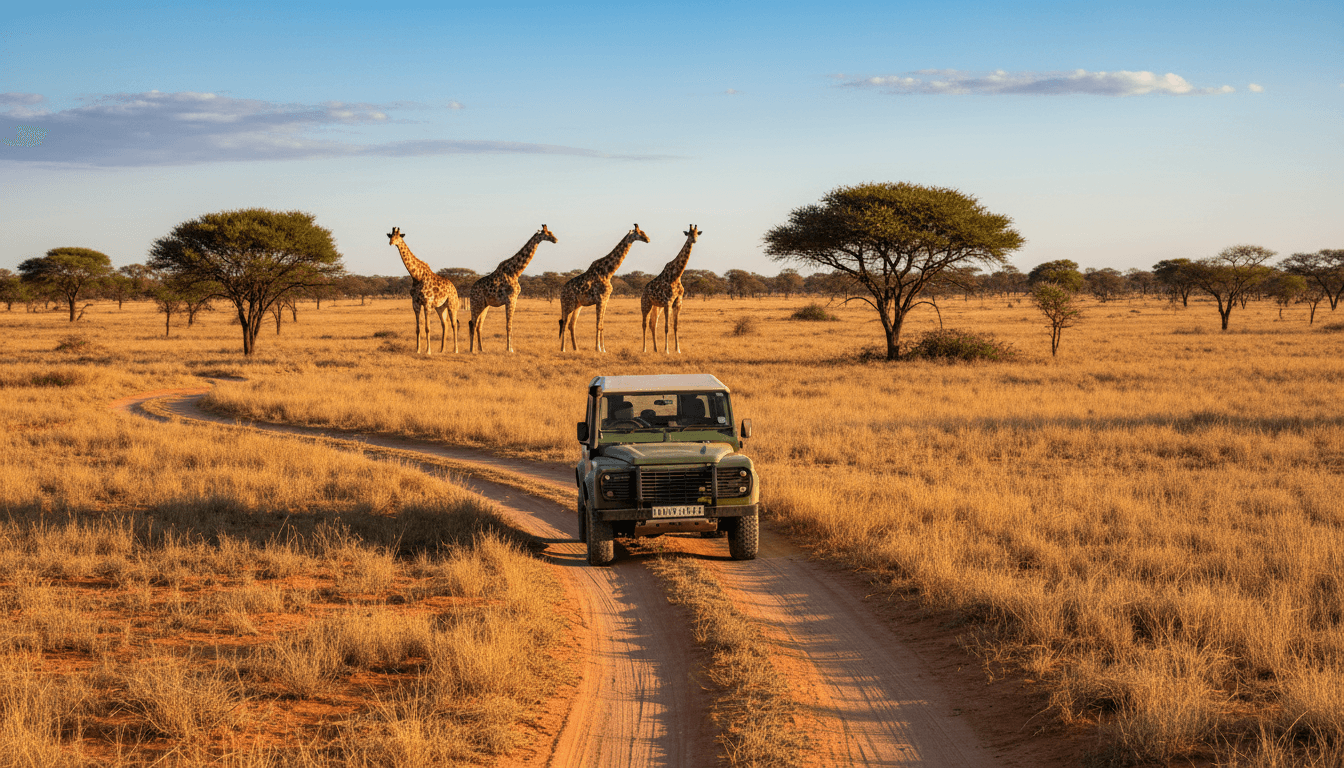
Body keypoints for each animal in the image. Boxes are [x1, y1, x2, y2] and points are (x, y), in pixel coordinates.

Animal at [468, 224, 558, 353]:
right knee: (472, 323)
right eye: (548, 233)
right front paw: (509, 349)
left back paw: (481, 349)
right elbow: (508, 325)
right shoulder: (511, 298)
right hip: (476, 303)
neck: (515, 272)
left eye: (551, 232)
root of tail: (471, 291)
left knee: (479, 325)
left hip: (485, 305)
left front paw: (510, 347)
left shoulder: (513, 299)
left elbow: (510, 325)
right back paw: (471, 350)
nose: (556, 239)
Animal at [559, 224, 649, 352]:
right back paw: (563, 349)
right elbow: (598, 324)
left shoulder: (606, 299)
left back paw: (576, 349)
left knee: (571, 324)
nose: (648, 239)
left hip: (577, 306)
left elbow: (602, 325)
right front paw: (597, 348)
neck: (608, 272)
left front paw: (603, 349)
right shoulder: (600, 299)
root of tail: (561, 292)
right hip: (567, 304)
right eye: (639, 232)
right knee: (564, 323)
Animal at [641, 224, 700, 354]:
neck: (676, 275)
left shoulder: (678, 302)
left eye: (697, 233)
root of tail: (644, 290)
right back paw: (644, 349)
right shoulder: (668, 302)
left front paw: (677, 349)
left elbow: (675, 326)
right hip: (646, 303)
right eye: (689, 234)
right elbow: (667, 327)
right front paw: (667, 350)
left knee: (653, 324)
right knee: (644, 324)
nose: (694, 240)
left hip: (657, 306)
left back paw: (655, 349)